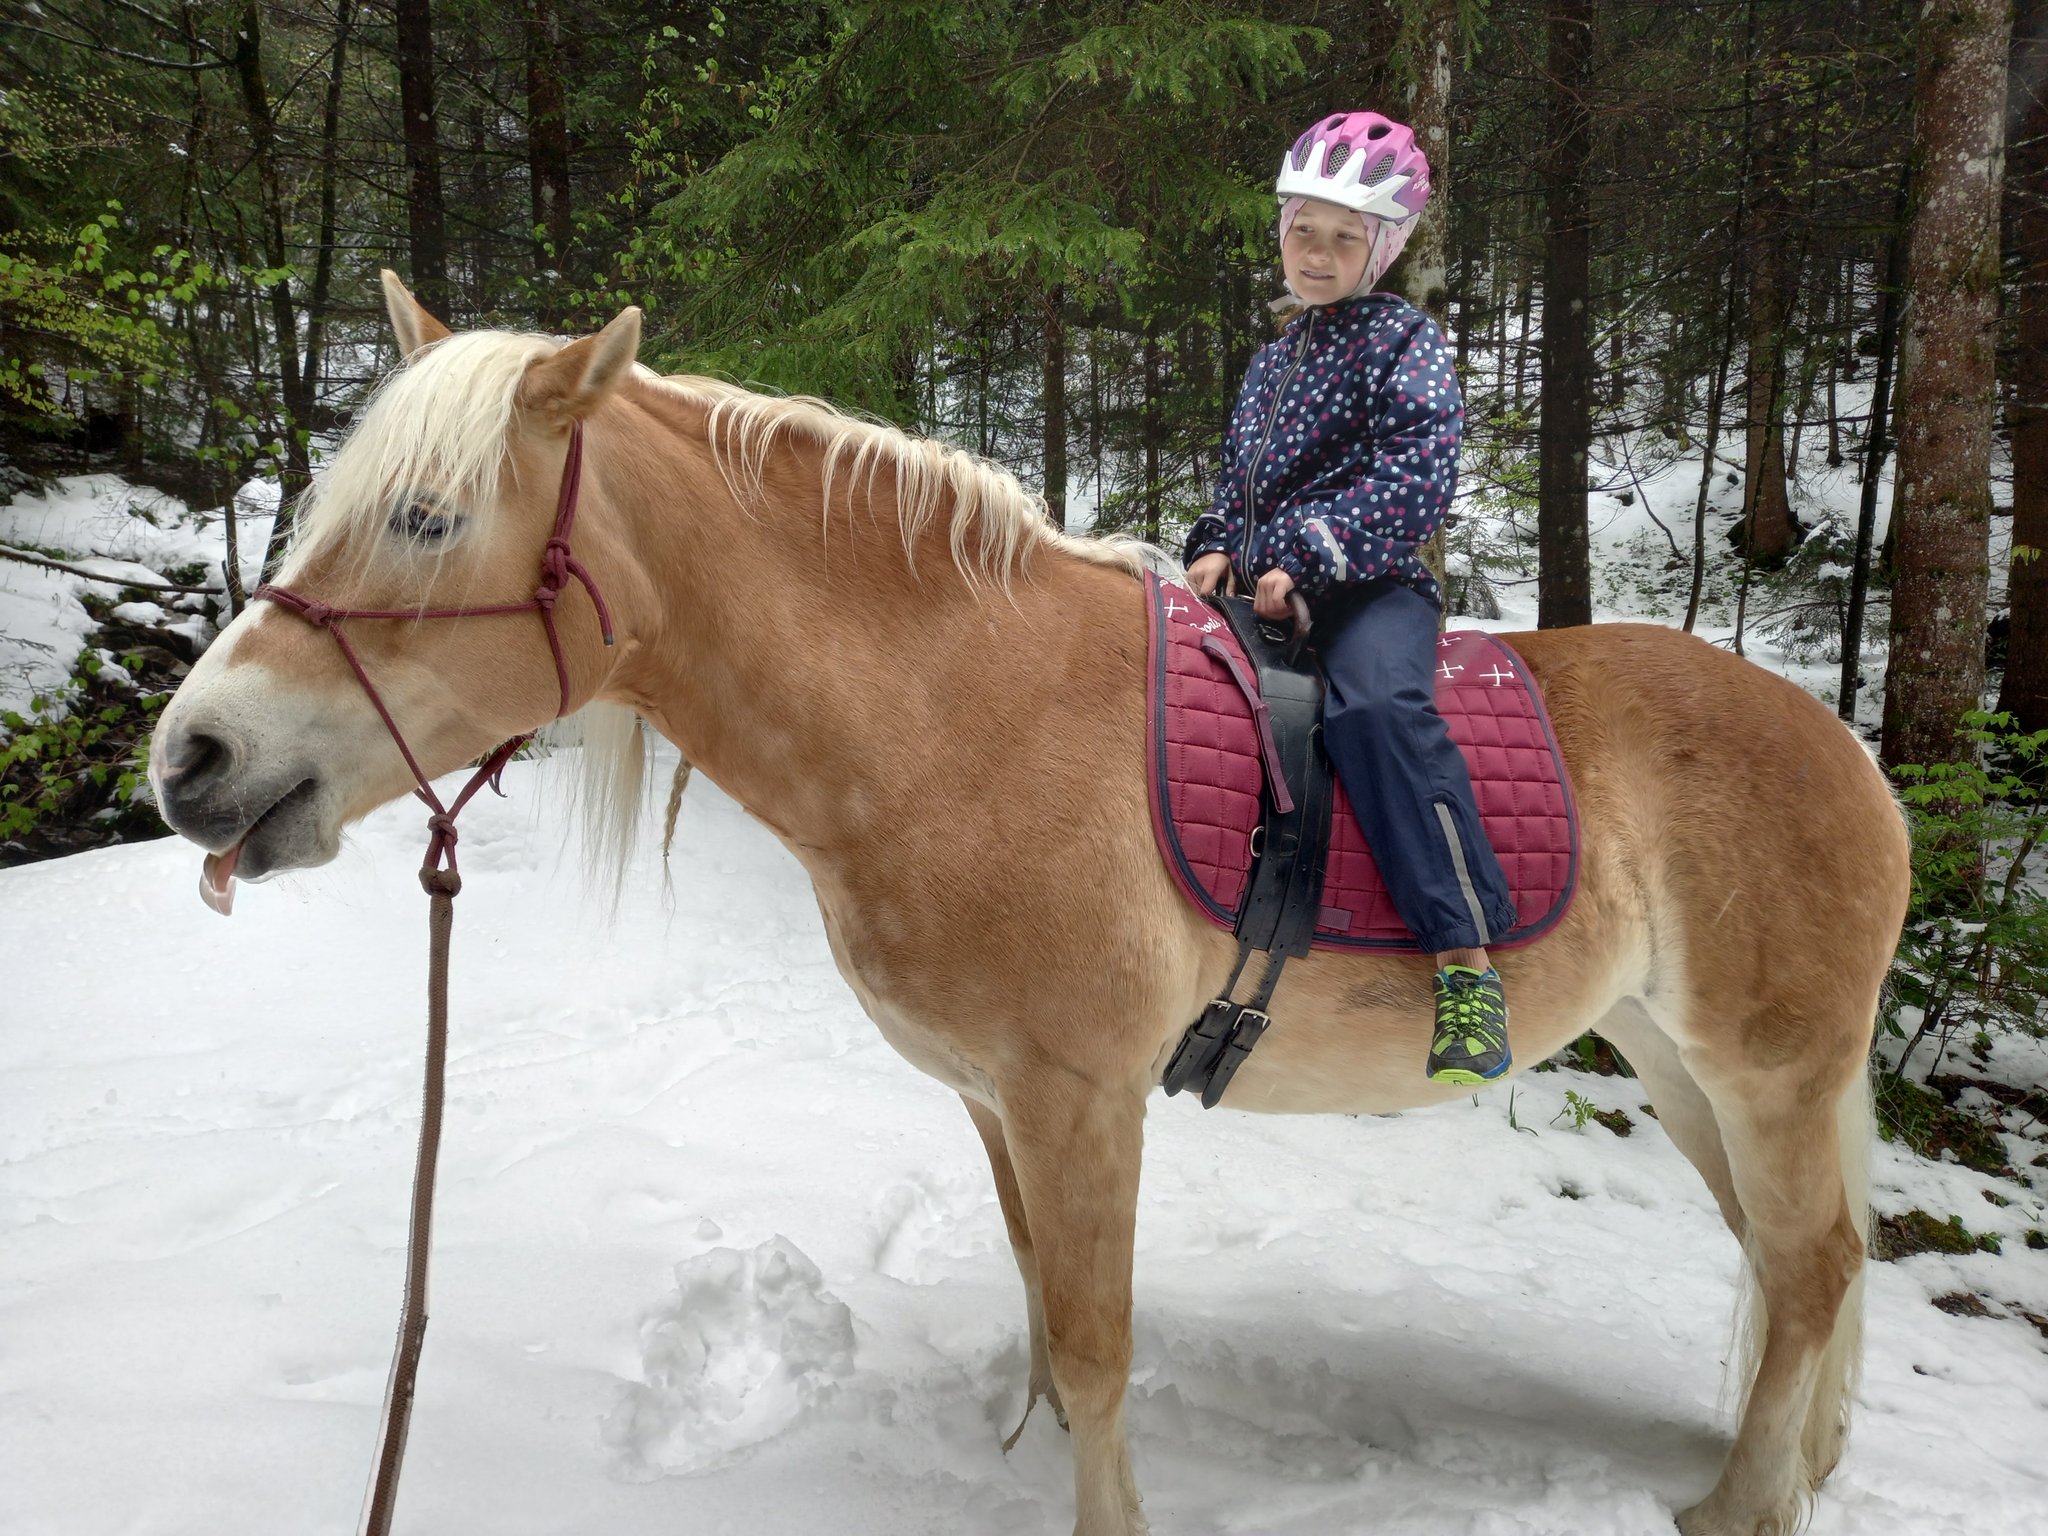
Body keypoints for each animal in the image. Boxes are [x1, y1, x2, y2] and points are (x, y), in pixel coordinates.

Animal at [148, 275, 1910, 1536]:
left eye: (427, 518)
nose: (191, 759)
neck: (957, 718)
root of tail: (1852, 752)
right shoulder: (1000, 1102)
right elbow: (1046, 1310)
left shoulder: (1085, 1099)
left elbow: (1098, 1340)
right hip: (1682, 1065)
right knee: (1796, 1266)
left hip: (1766, 1071)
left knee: (1818, 1266)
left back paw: (1738, 1510)